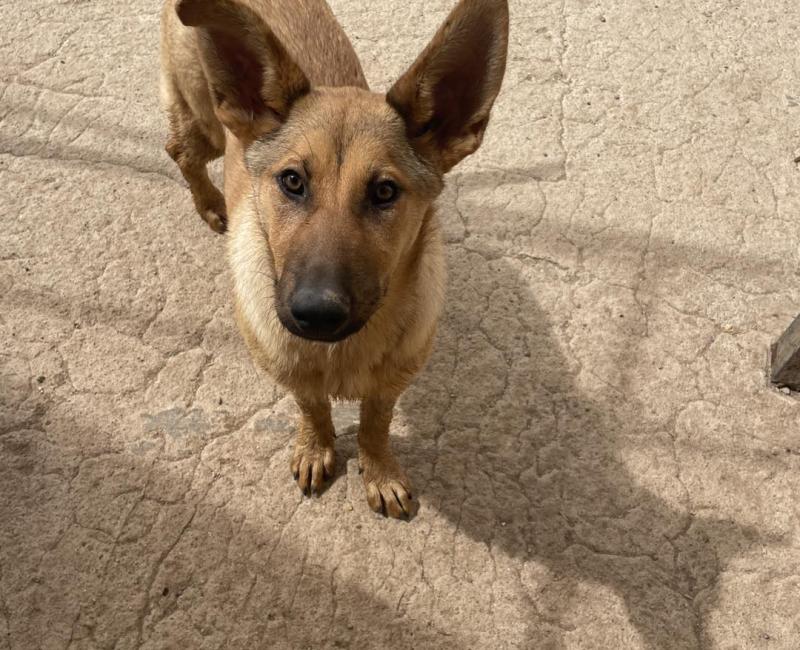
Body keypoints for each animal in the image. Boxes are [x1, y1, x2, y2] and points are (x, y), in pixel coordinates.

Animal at [160, 0, 509, 517]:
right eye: (292, 181)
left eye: (385, 192)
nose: (316, 314)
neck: (341, 353)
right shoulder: (292, 371)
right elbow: (313, 406)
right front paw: (316, 446)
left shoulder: (390, 384)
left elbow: (375, 425)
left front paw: (379, 470)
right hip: (206, 119)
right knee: (180, 150)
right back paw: (209, 204)